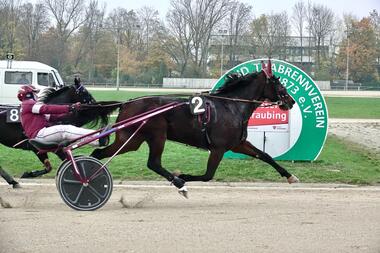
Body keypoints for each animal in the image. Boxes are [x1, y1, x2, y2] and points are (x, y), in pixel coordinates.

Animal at [92, 65, 300, 196]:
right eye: (280, 84)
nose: (291, 101)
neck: (231, 106)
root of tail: (126, 103)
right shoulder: (218, 148)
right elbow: (208, 175)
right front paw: (182, 176)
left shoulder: (238, 144)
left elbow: (265, 155)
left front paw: (290, 176)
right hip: (157, 134)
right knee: (153, 163)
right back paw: (179, 183)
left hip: (131, 140)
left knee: (99, 153)